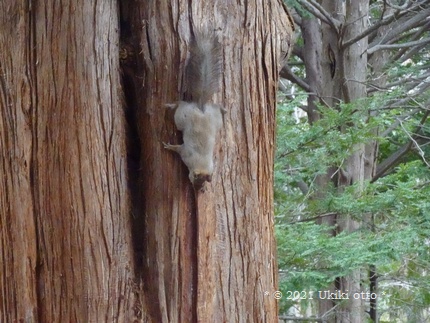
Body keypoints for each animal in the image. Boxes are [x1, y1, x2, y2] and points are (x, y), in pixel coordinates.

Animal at [164, 31, 225, 190]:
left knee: (216, 107)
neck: (201, 163)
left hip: (216, 120)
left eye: (203, 183)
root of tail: (200, 108)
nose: (198, 190)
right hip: (181, 117)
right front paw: (169, 146)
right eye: (194, 178)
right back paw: (171, 105)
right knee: (180, 104)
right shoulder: (186, 154)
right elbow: (178, 149)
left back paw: (224, 109)